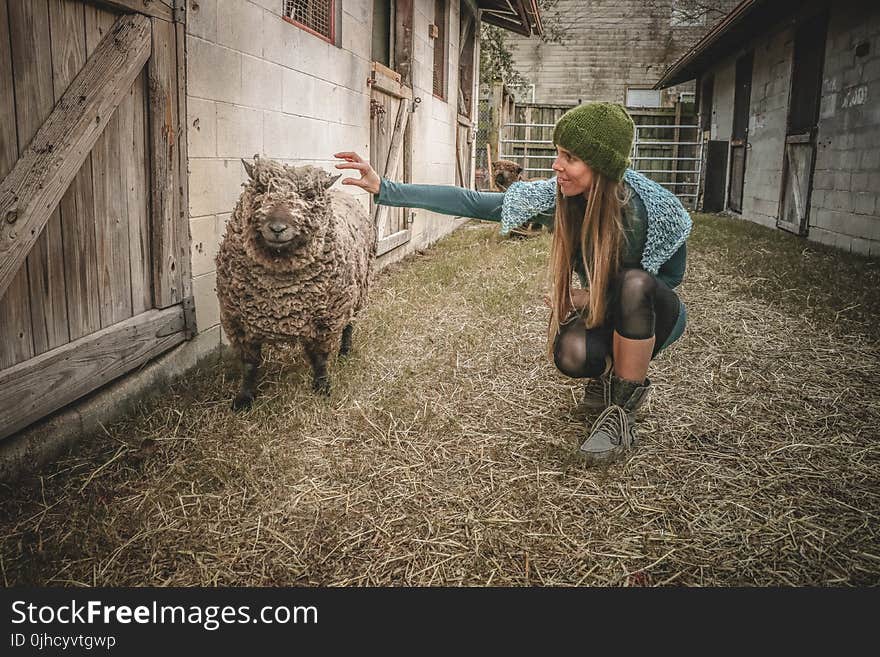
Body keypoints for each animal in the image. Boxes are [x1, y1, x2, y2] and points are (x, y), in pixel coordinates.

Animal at [217, 156, 378, 408]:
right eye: (260, 189)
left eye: (310, 196)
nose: (277, 228)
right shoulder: (238, 322)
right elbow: (249, 364)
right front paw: (244, 398)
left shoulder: (326, 320)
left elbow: (320, 359)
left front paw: (322, 387)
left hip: (358, 292)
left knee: (350, 324)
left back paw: (345, 351)